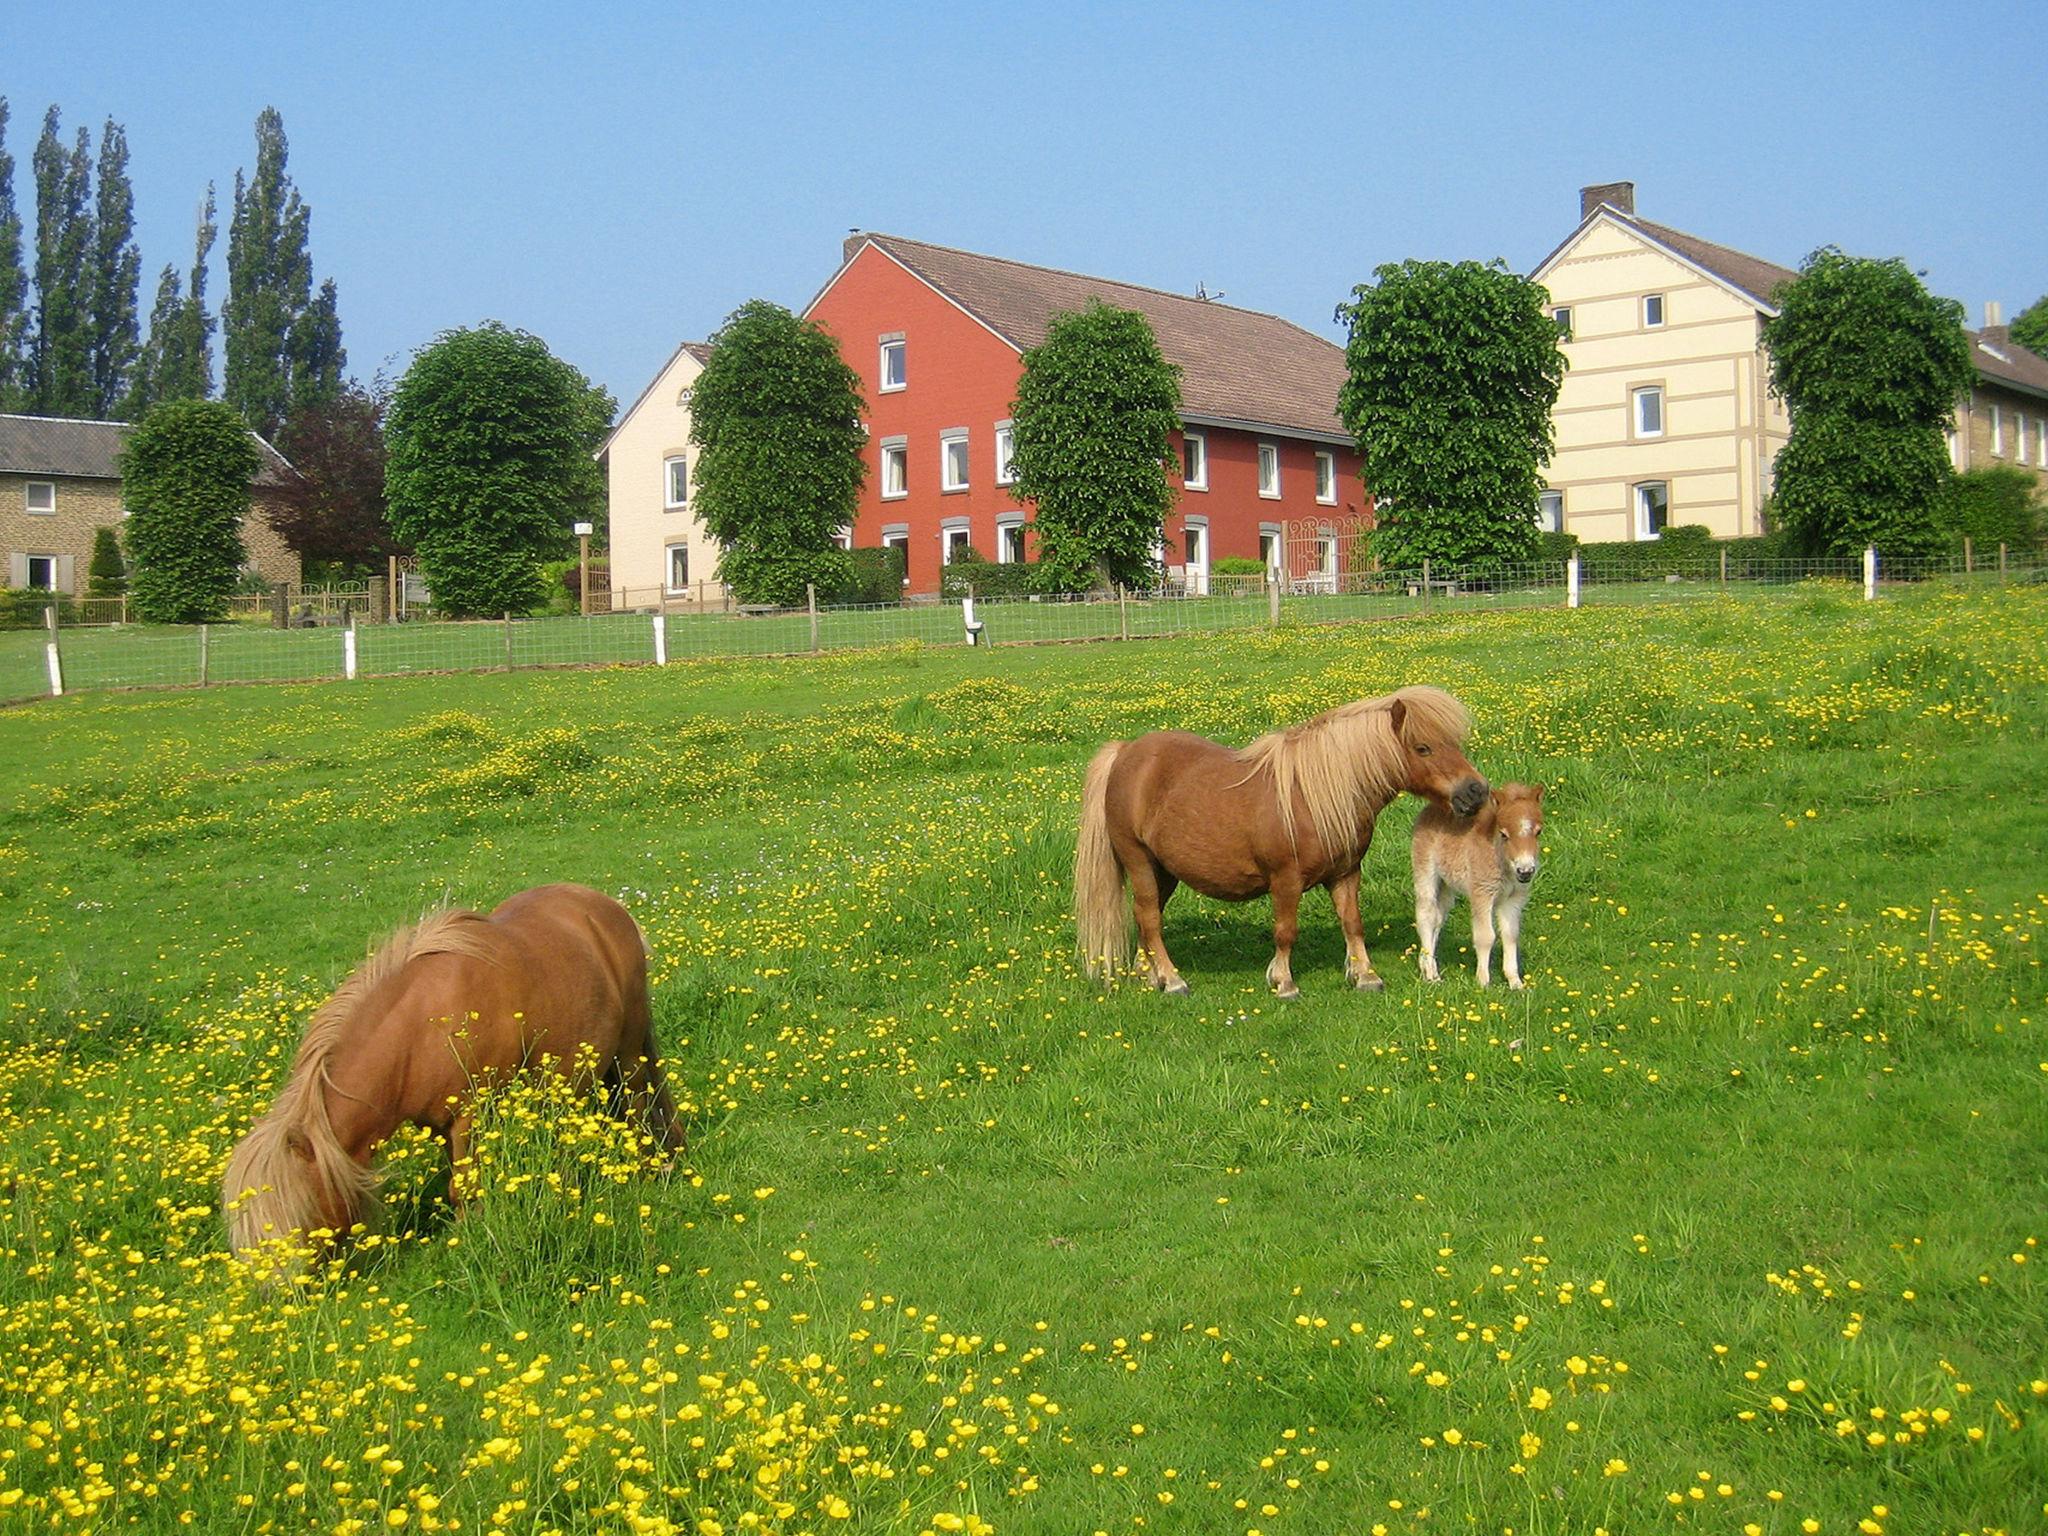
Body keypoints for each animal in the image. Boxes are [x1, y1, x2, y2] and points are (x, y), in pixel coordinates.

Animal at [222, 884, 679, 1253]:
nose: (290, 1292)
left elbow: (462, 1187)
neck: (424, 1026)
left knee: (639, 1107)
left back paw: (650, 1170)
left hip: (629, 1053)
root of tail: (607, 908)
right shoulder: (440, 1125)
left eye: (299, 1211)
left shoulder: (468, 1117)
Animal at [1073, 684, 1490, 999]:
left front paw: (1366, 976)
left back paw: (1153, 976)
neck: (1314, 796)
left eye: (1454, 743)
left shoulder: (1345, 874)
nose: (1476, 791)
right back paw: (1173, 980)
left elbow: (1353, 923)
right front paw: (1284, 982)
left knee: (1147, 920)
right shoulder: (1285, 881)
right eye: (1423, 748)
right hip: (1139, 862)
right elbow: (1286, 931)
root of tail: (1125, 753)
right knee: (1148, 918)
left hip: (1165, 871)